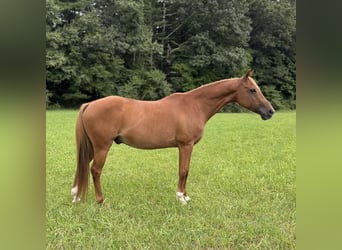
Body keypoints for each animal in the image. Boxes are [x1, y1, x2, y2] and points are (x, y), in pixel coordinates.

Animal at [71, 70, 274, 205]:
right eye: (252, 90)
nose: (270, 111)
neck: (194, 105)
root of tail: (90, 104)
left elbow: (186, 170)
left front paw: (185, 195)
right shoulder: (186, 145)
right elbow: (183, 171)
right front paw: (181, 198)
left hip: (92, 147)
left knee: (82, 166)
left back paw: (76, 195)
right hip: (102, 147)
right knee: (95, 170)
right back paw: (100, 200)